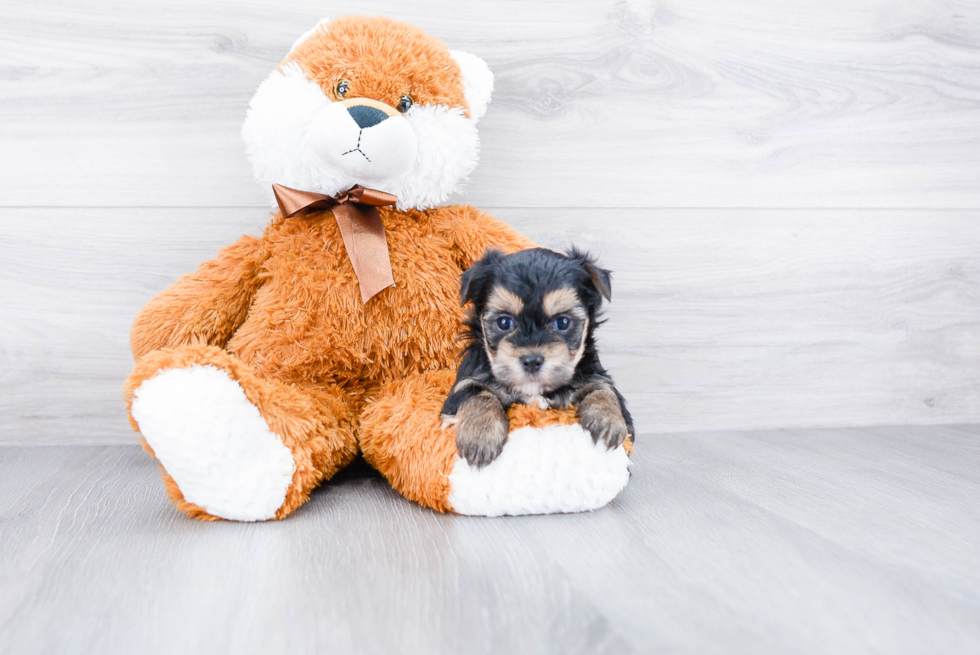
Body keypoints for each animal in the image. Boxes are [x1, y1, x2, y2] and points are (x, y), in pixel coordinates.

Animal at [440, 249, 632, 468]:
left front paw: (608, 421)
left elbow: (605, 390)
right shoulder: (464, 383)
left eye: (562, 322)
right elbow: (478, 394)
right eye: (504, 322)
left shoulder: (595, 375)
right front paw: (480, 435)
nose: (532, 360)